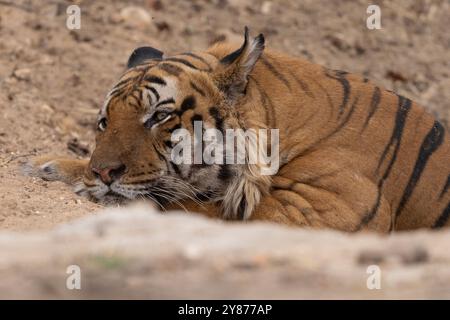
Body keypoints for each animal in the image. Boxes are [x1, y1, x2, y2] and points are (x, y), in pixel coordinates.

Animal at [25, 27, 450, 232]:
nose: (103, 173)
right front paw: (48, 164)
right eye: (104, 122)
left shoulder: (321, 212)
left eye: (158, 117)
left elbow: (194, 207)